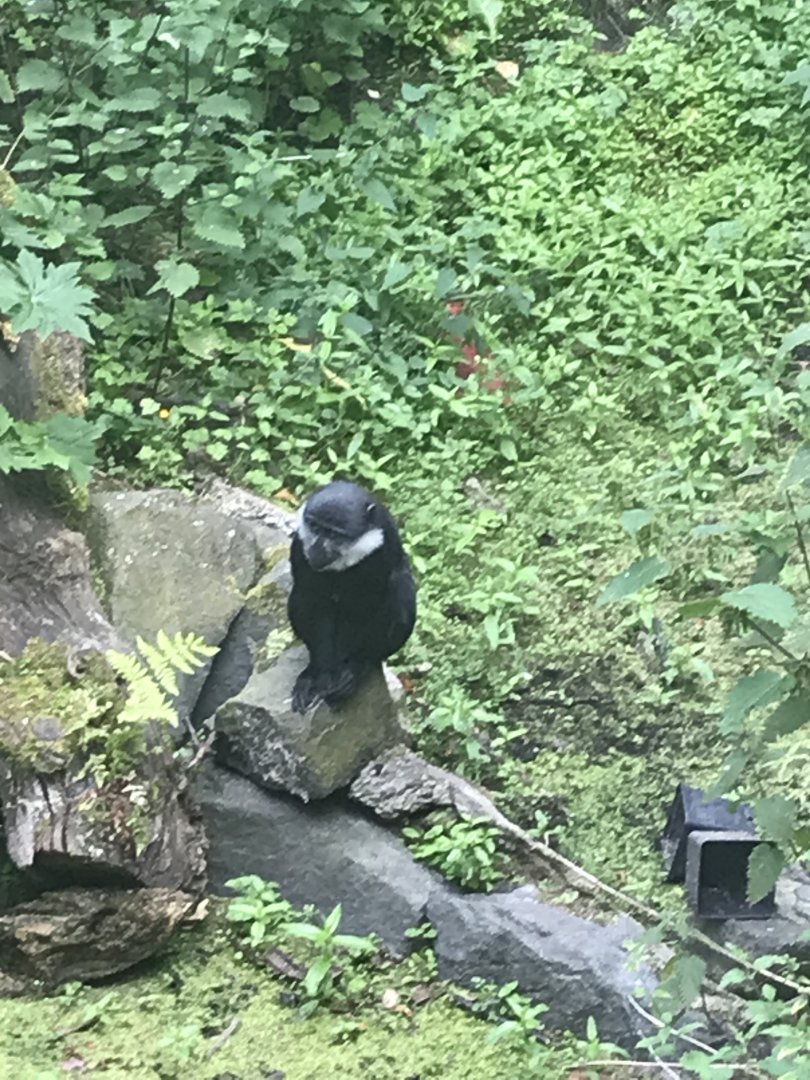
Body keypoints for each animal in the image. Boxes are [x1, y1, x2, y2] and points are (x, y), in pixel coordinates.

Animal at [287, 479, 416, 713]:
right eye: (315, 527)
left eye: (335, 535)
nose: (317, 549)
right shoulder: (300, 548)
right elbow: (313, 603)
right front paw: (318, 675)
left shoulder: (380, 551)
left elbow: (364, 608)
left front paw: (349, 673)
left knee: (400, 589)